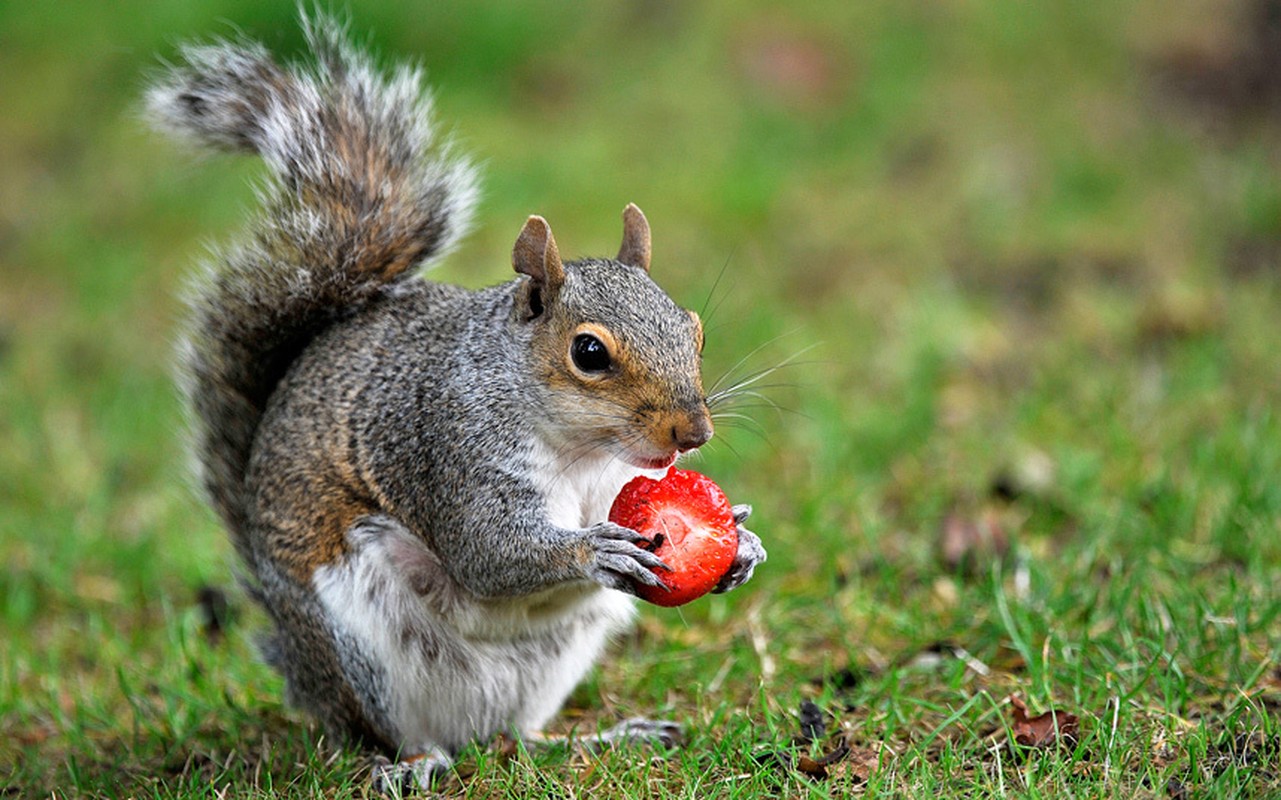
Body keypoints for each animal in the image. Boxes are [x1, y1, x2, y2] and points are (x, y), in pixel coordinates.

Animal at [147, 15, 768, 788]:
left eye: (694, 328)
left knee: (517, 734)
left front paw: (741, 543)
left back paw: (594, 738)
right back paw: (413, 764)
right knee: (394, 731)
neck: (583, 451)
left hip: (554, 658)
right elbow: (485, 552)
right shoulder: (448, 447)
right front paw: (593, 550)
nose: (695, 433)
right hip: (355, 644)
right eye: (589, 354)